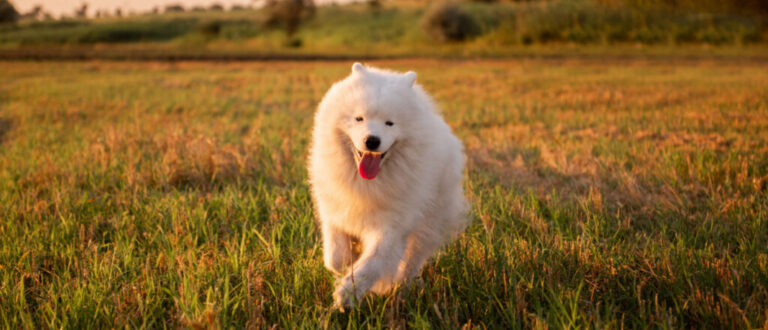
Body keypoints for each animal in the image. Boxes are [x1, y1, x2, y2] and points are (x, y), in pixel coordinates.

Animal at [308, 62, 468, 310]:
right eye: (359, 118)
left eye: (389, 123)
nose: (372, 140)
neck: (367, 182)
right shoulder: (334, 208)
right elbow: (335, 256)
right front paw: (347, 263)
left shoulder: (391, 225)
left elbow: (374, 261)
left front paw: (348, 293)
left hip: (428, 223)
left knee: (411, 261)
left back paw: (400, 289)